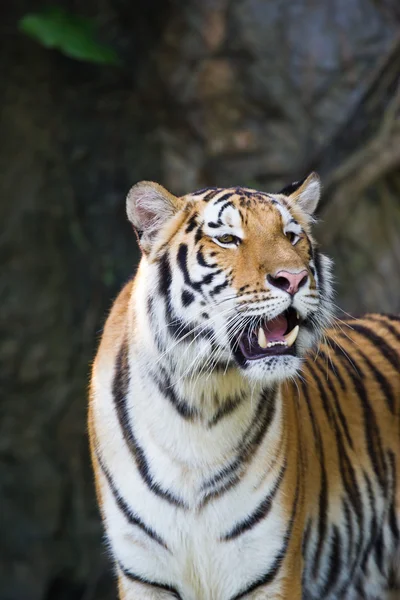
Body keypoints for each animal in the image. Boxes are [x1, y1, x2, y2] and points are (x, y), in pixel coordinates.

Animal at [88, 173, 400, 600]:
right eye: (227, 239)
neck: (197, 404)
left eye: (292, 236)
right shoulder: (144, 574)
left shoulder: (268, 568)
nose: (294, 278)